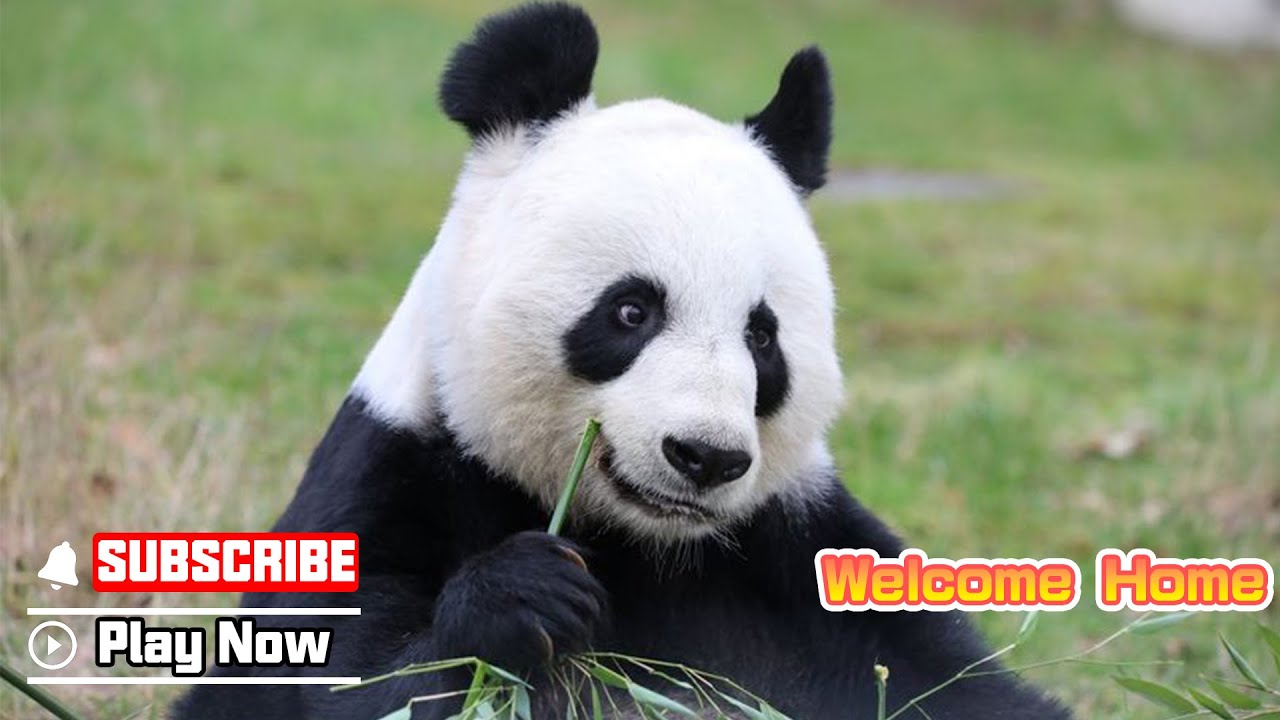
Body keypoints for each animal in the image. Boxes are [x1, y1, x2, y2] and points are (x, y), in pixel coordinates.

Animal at [174, 4, 1072, 719]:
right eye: (632, 311)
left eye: (762, 338)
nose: (705, 457)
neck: (639, 542)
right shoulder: (393, 481)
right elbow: (356, 683)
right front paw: (524, 598)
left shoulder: (793, 554)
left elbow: (941, 683)